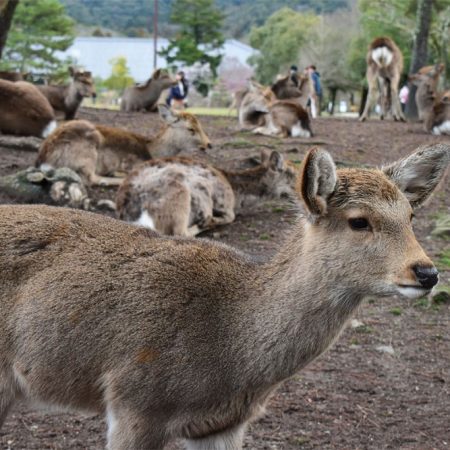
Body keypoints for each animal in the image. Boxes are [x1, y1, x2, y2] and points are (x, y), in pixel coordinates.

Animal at [36, 105, 212, 186]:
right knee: (90, 178)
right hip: (88, 151)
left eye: (200, 125)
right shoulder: (132, 161)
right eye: (191, 129)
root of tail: (44, 159)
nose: (208, 144)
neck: (153, 151)